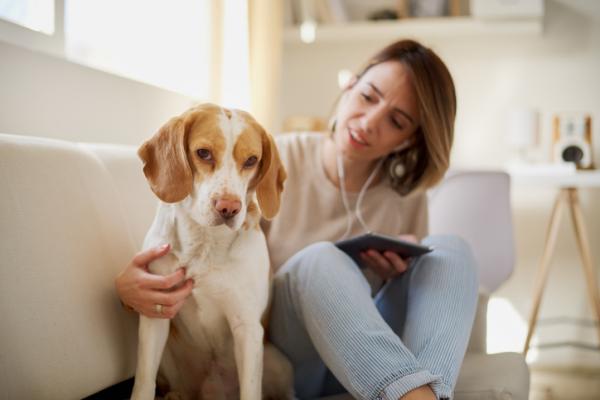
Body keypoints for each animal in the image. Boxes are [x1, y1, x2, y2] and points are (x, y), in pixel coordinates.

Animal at [131, 104, 292, 400]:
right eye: (203, 153)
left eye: (252, 160)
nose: (228, 208)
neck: (204, 243)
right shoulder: (155, 316)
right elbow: (144, 382)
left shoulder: (247, 329)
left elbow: (250, 391)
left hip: (277, 361)